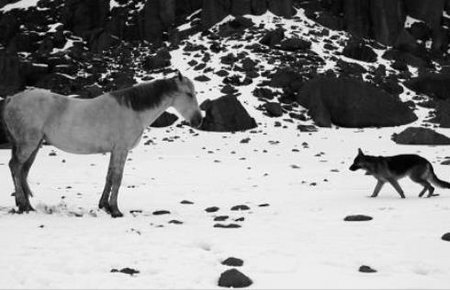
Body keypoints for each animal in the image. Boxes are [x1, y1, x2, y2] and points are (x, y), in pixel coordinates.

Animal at [1, 72, 202, 218]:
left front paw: (104, 206)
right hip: (28, 144)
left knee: (23, 171)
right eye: (189, 94)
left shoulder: (114, 151)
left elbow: (109, 176)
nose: (199, 120)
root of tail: (12, 99)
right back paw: (23, 205)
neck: (133, 110)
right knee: (15, 167)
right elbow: (118, 178)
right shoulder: (121, 149)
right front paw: (115, 210)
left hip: (34, 146)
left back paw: (27, 205)